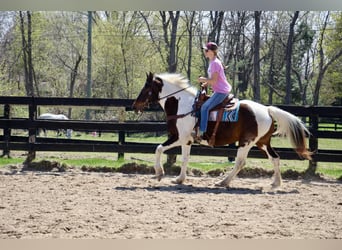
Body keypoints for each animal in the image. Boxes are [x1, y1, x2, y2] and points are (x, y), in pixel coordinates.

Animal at [132, 72, 312, 188]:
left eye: (146, 89)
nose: (134, 106)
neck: (182, 105)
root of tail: (267, 110)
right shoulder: (187, 141)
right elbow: (184, 159)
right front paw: (179, 179)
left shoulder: (179, 138)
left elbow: (158, 148)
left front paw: (159, 173)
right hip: (262, 143)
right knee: (275, 158)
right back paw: (276, 183)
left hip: (246, 142)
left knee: (240, 162)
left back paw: (223, 182)